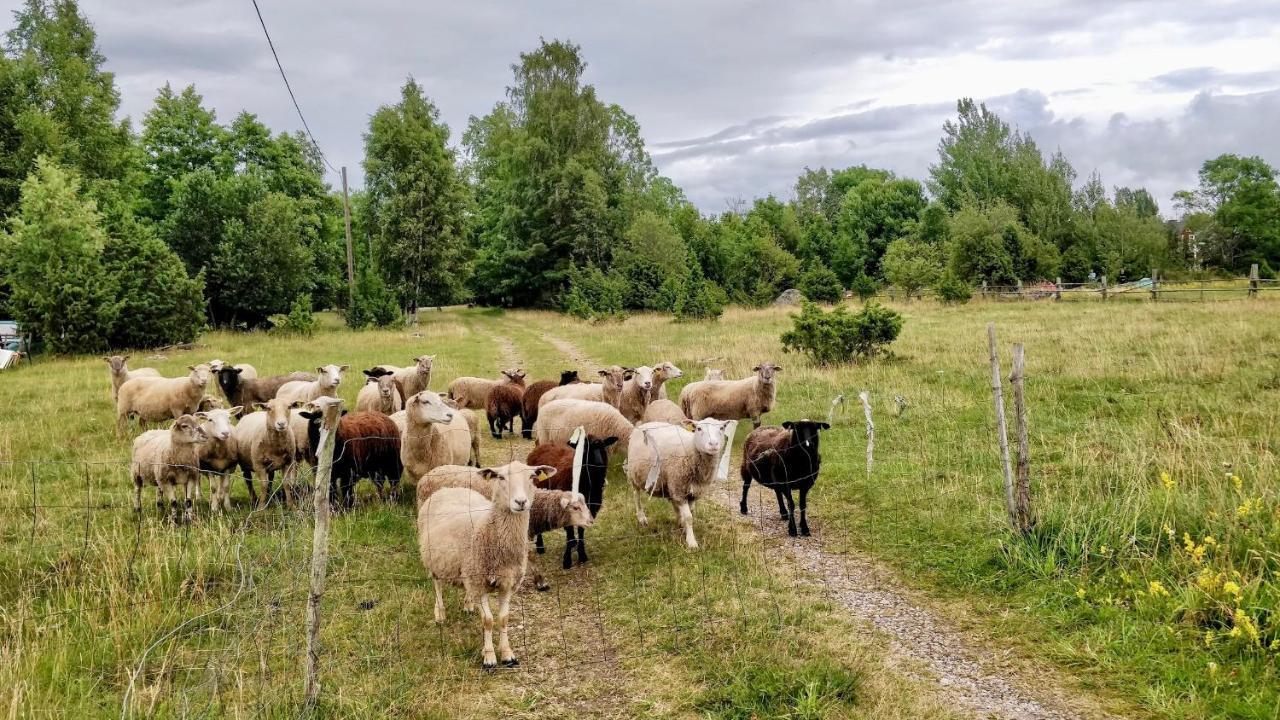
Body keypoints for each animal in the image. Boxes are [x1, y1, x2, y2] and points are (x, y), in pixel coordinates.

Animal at [419, 458, 550, 666]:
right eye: (501, 477)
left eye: (532, 476)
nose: (521, 502)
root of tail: (447, 489)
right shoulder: (479, 583)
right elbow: (488, 620)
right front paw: (489, 657)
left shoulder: (507, 583)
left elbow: (504, 618)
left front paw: (507, 654)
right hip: (434, 560)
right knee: (437, 584)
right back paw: (440, 614)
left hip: (467, 568)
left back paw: (468, 605)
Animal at [524, 430, 614, 571]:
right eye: (584, 448)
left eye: (603, 446)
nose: (599, 463)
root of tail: (540, 446)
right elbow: (570, 531)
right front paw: (567, 561)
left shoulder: (588, 508)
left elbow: (581, 531)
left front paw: (582, 555)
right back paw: (540, 547)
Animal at [622, 417, 727, 545]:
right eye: (699, 428)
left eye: (721, 428)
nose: (713, 444)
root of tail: (643, 424)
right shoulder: (679, 489)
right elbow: (689, 517)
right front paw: (691, 541)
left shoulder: (691, 492)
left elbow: (691, 512)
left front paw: (685, 529)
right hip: (634, 475)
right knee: (636, 496)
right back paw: (642, 518)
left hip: (669, 484)